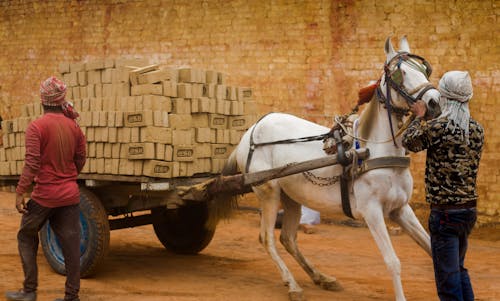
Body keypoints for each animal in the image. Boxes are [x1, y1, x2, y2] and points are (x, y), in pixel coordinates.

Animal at [214, 35, 438, 300]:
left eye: (424, 69)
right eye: (400, 73)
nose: (435, 101)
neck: (375, 152)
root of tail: (249, 133)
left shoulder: (400, 209)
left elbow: (431, 248)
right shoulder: (372, 211)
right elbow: (393, 261)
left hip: (291, 197)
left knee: (287, 238)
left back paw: (321, 277)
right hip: (268, 192)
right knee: (267, 238)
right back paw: (292, 284)